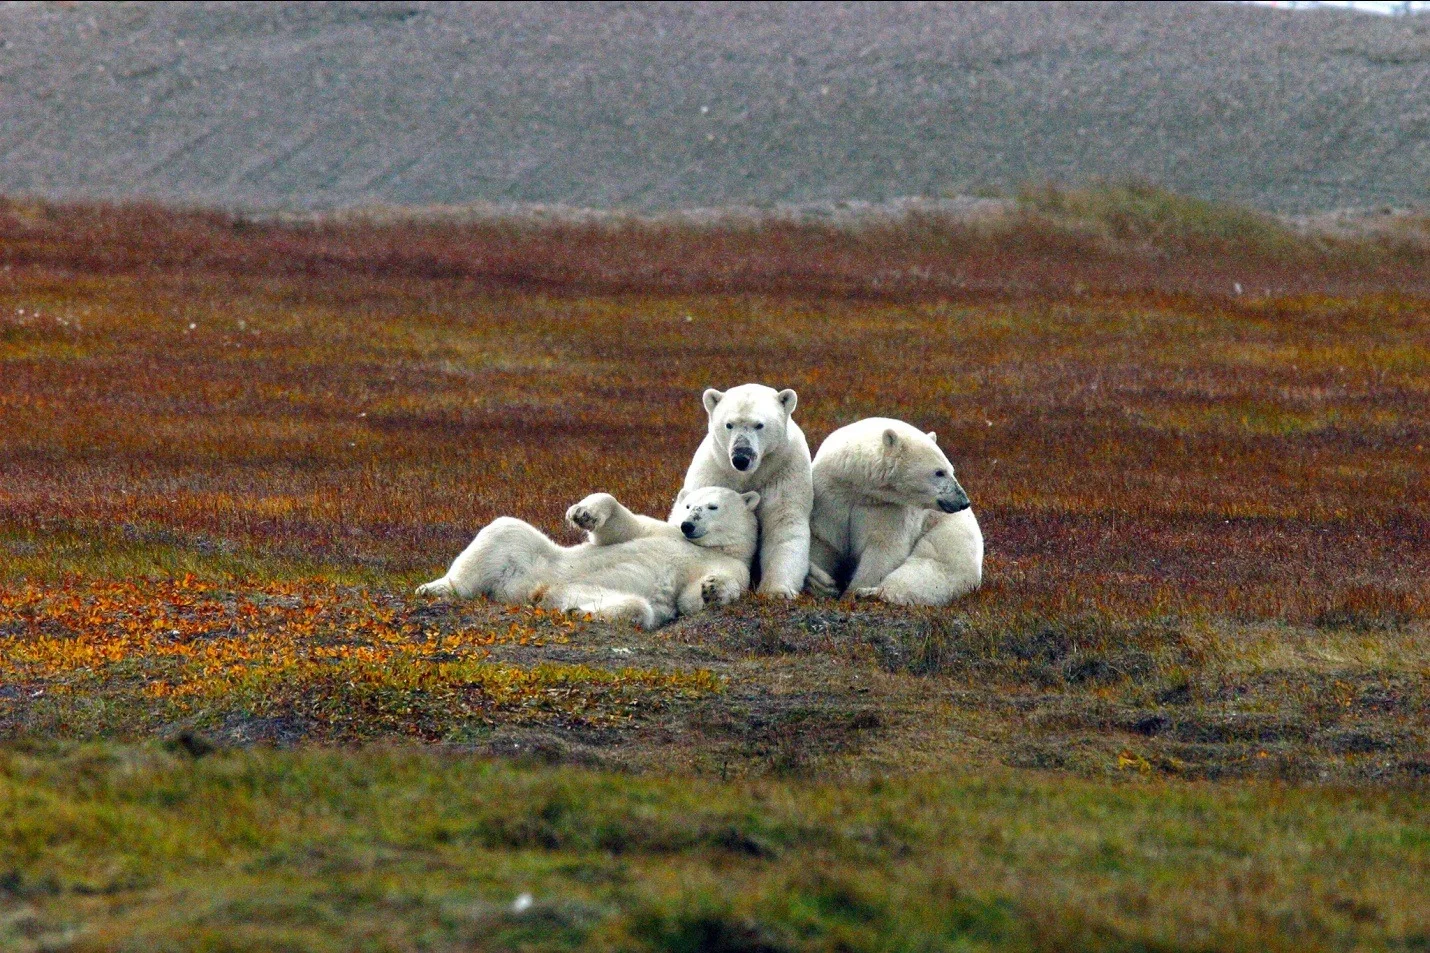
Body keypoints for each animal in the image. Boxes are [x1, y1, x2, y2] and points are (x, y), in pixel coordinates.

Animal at [415, 486, 760, 629]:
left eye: (712, 506)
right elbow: (620, 527)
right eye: (688, 506)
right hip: (538, 559)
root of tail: (525, 592)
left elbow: (693, 597)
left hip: (584, 590)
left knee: (637, 608)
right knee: (505, 531)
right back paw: (435, 588)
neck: (704, 547)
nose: (688, 524)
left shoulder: (732, 564)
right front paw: (584, 512)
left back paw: (579, 612)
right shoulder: (659, 530)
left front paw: (713, 588)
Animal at [675, 383, 813, 599]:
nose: (741, 458)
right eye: (729, 424)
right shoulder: (715, 470)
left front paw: (778, 591)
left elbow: (784, 524)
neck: (749, 475)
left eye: (759, 425)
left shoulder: (784, 471)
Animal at [805, 417, 983, 606]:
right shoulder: (830, 496)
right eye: (939, 472)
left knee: (926, 571)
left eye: (951, 470)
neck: (859, 487)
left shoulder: (889, 508)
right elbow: (824, 540)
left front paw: (853, 591)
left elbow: (883, 548)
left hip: (950, 546)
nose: (963, 501)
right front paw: (821, 582)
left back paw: (872, 593)